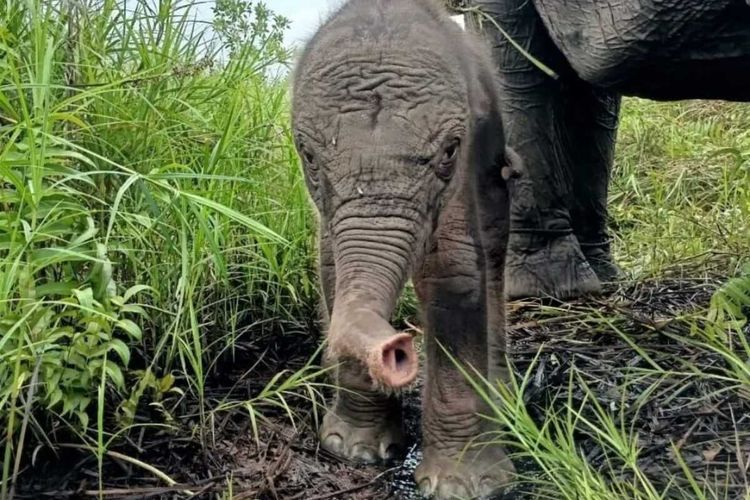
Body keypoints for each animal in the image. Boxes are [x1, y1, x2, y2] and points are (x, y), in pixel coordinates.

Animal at [294, 0, 524, 496]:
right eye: (310, 157)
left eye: (450, 152)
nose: (397, 347)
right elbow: (332, 269)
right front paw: (353, 451)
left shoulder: (464, 174)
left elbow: (456, 276)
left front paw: (462, 487)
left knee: (494, 250)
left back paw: (502, 398)